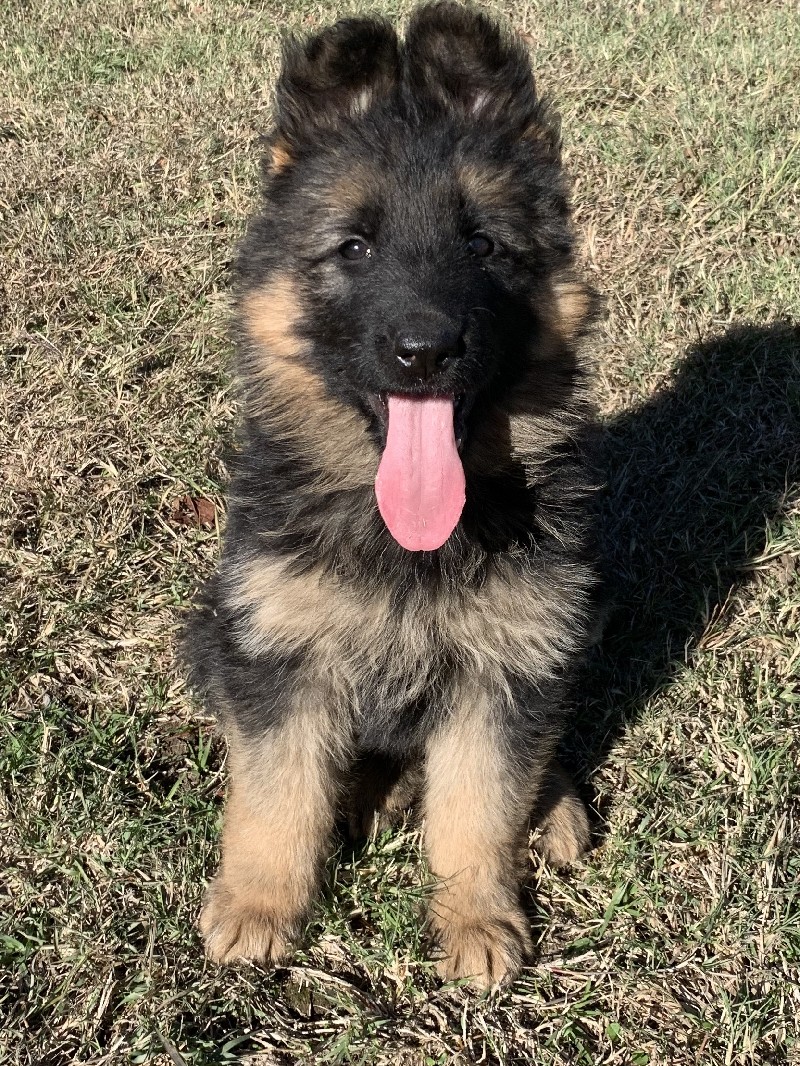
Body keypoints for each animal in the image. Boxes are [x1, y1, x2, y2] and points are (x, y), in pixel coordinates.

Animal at [187, 2, 597, 989]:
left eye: (482, 245)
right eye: (355, 247)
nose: (424, 352)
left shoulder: (506, 664)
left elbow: (481, 801)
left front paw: (474, 916)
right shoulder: (278, 658)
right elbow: (276, 795)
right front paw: (261, 906)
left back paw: (556, 806)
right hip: (209, 629)